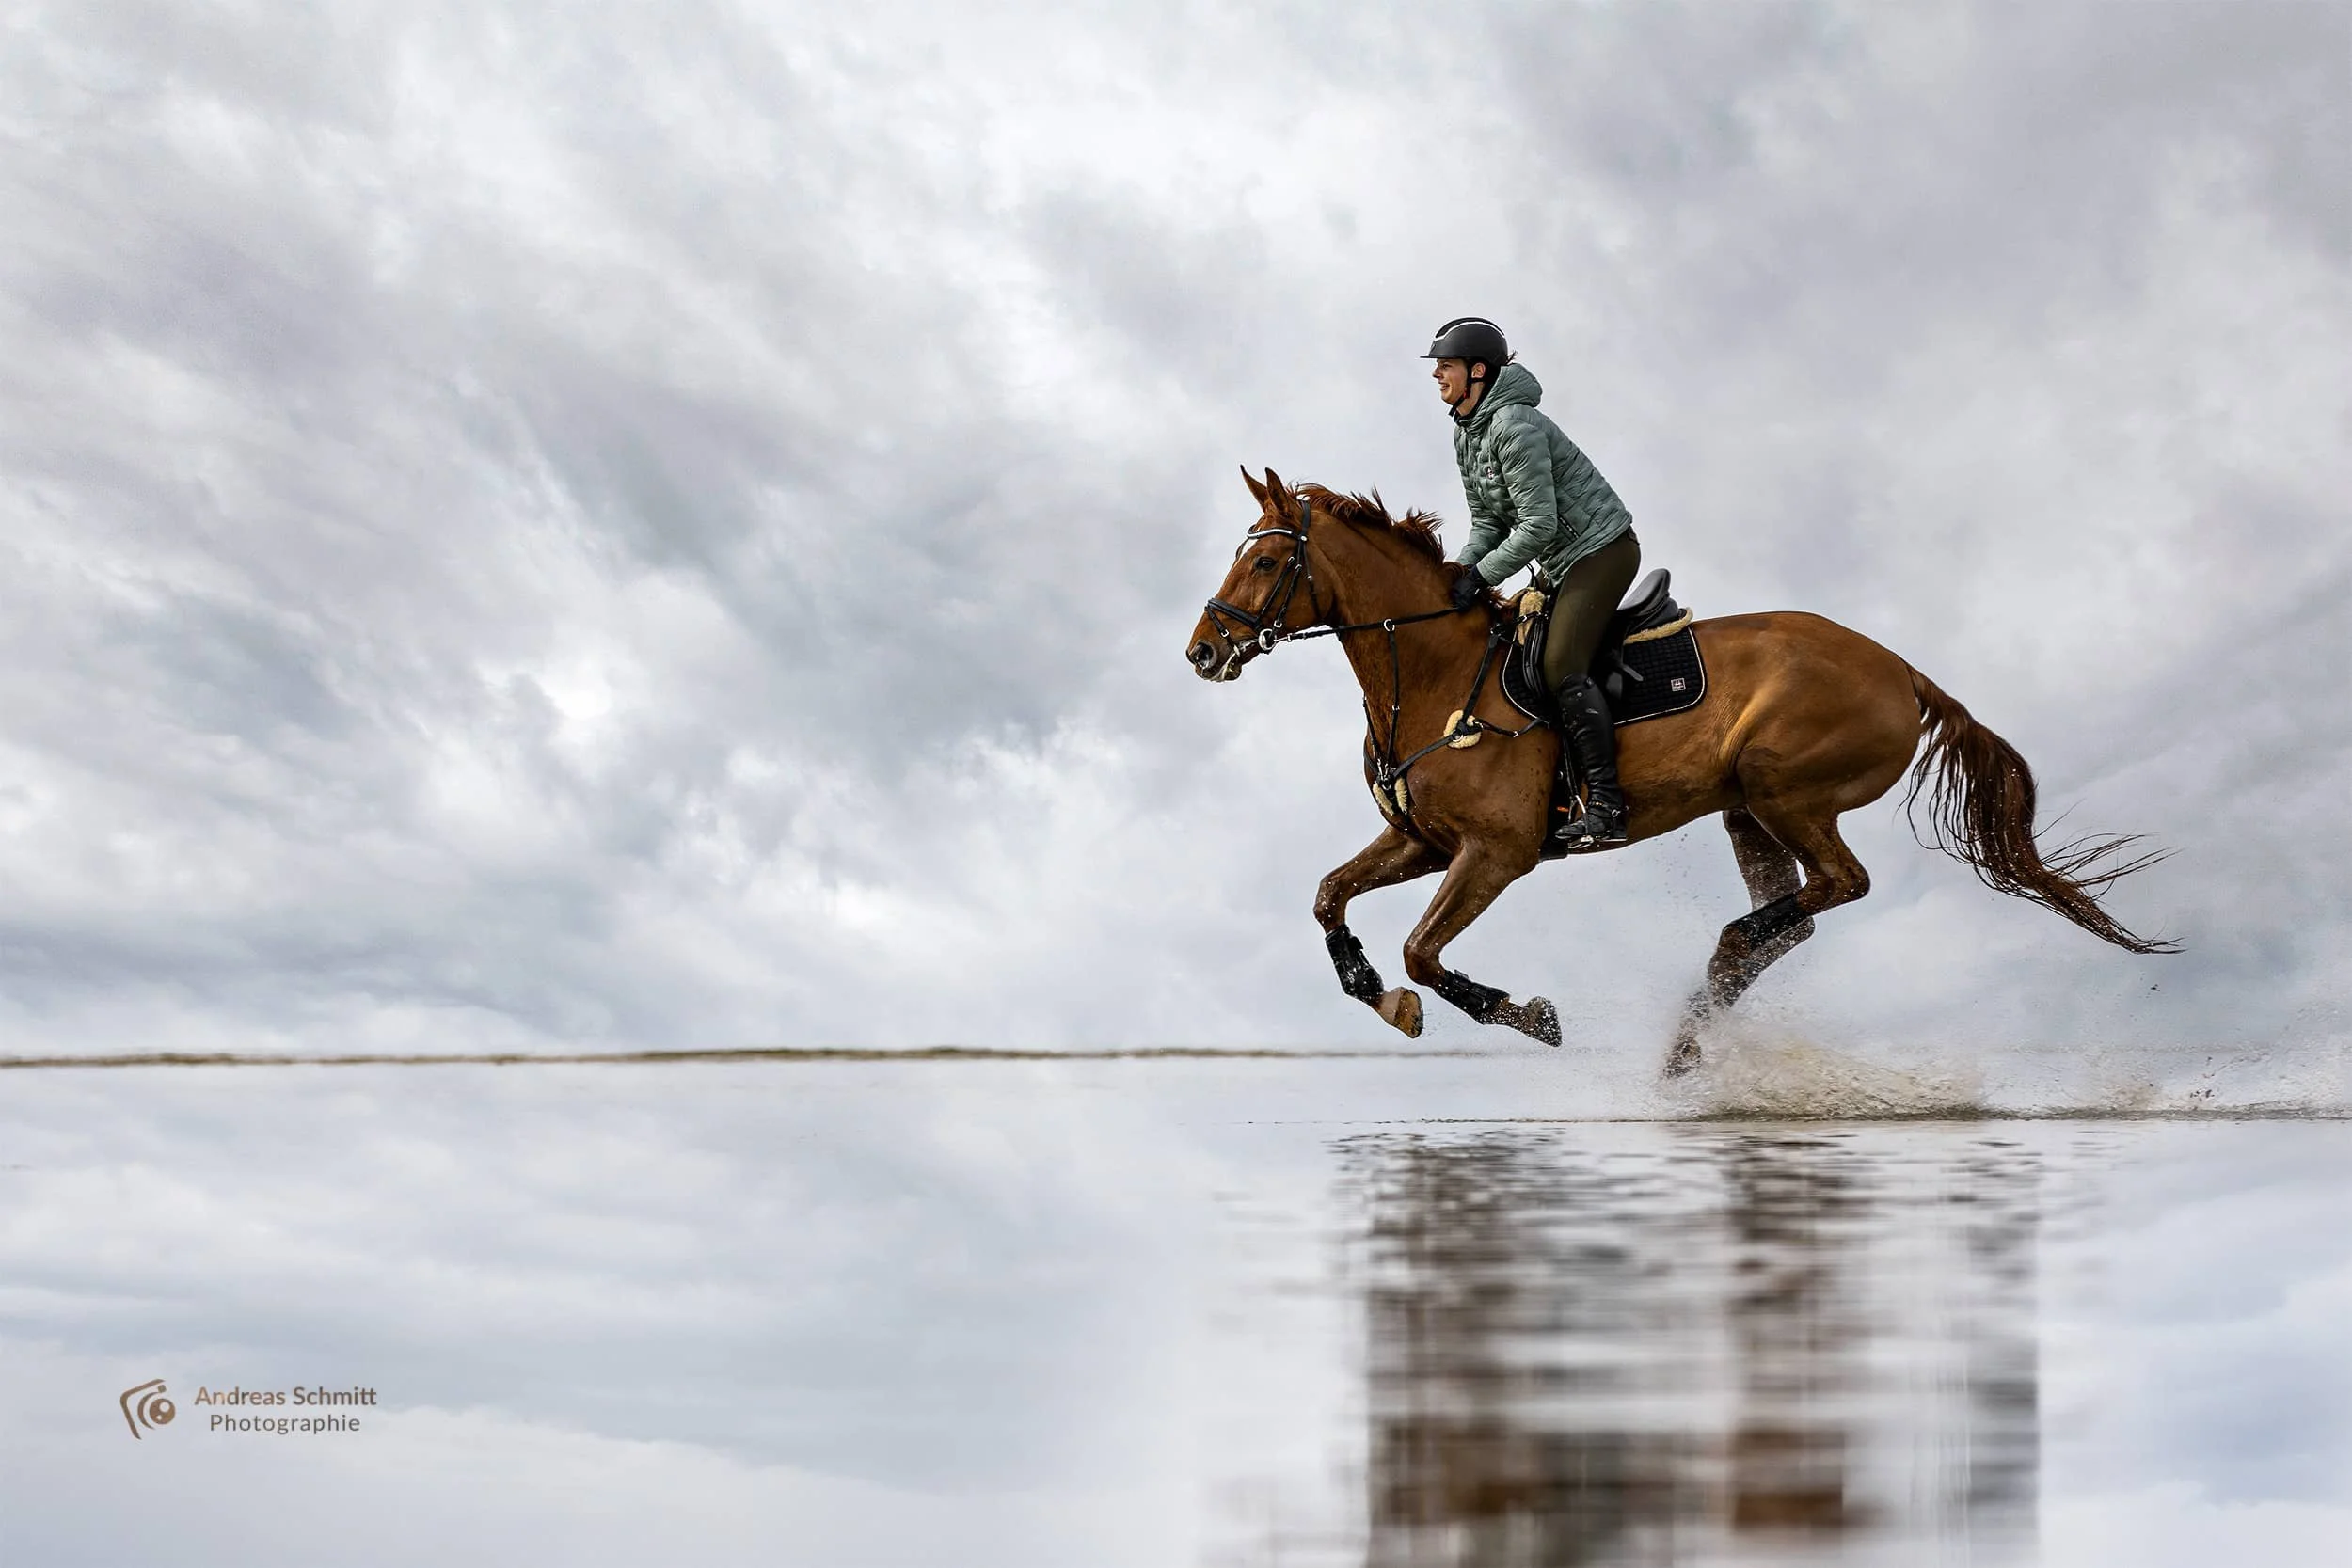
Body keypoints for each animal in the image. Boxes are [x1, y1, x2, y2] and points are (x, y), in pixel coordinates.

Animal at [1185, 469, 2172, 1073]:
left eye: (1266, 559)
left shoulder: (1497, 852)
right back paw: (1696, 1029)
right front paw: (1372, 991)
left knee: (1837, 885)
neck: (1428, 669)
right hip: (1749, 811)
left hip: (1783, 782)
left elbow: (1423, 951)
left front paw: (1520, 1014)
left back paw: (1712, 981)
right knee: (1797, 915)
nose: (1202, 651)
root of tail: (1904, 671)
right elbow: (1328, 895)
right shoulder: (1423, 840)